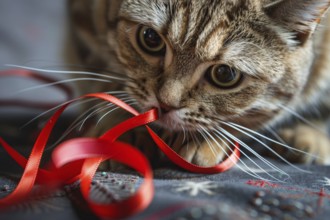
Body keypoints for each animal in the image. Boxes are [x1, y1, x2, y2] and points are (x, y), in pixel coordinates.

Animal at [66, 0, 330, 170]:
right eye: (150, 38)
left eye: (224, 74)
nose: (165, 104)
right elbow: (104, 75)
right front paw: (122, 125)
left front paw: (202, 140)